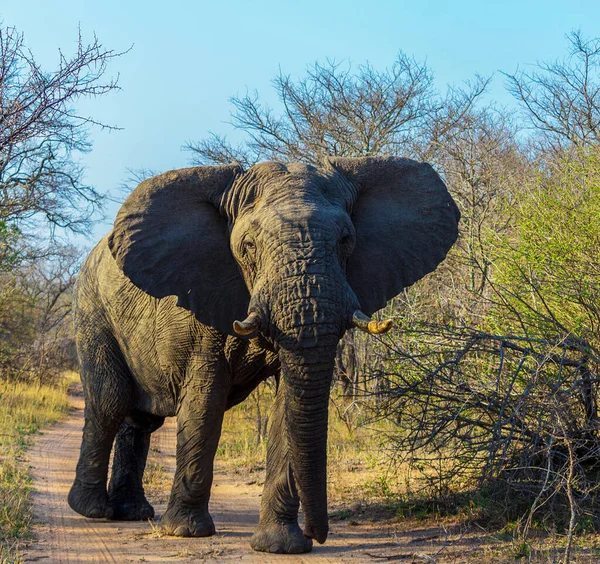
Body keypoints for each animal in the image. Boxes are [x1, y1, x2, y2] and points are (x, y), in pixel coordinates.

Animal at [67, 156, 460, 552]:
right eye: (249, 245)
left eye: (346, 240)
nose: (317, 534)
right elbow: (206, 403)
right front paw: (185, 531)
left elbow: (288, 404)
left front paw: (281, 546)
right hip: (92, 309)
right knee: (111, 401)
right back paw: (92, 510)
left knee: (140, 419)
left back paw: (132, 512)